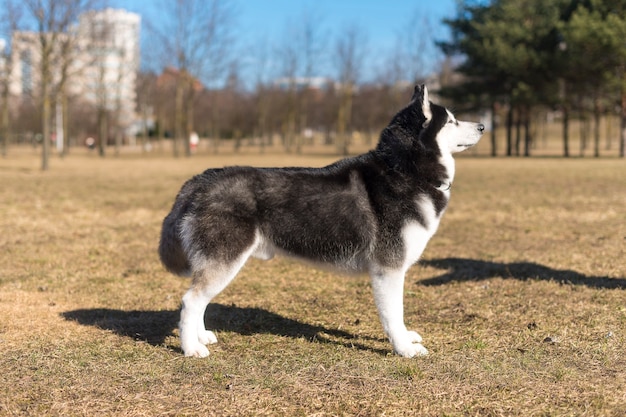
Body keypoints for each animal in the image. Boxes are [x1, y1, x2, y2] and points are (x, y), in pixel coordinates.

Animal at [157, 85, 482, 358]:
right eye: (451, 121)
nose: (482, 125)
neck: (405, 170)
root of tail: (200, 181)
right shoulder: (388, 268)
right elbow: (393, 314)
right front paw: (404, 349)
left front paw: (406, 338)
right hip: (225, 258)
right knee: (190, 301)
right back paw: (191, 348)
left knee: (200, 300)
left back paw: (201, 336)